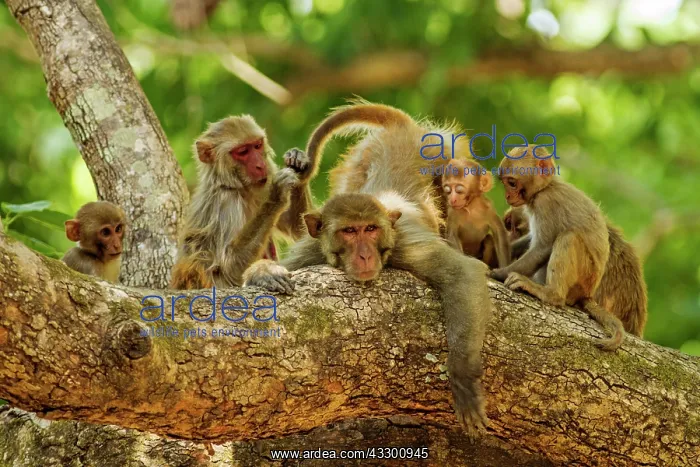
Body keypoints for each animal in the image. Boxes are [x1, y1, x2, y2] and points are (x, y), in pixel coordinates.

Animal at [170, 115, 313, 290]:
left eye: (257, 146)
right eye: (243, 152)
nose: (260, 165)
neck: (238, 187)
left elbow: (303, 232)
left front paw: (298, 162)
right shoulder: (225, 203)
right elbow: (228, 268)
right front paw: (277, 195)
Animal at [244, 101, 493, 436]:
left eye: (371, 229)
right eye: (349, 232)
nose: (364, 256)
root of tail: (403, 129)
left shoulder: (406, 244)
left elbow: (463, 274)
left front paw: (463, 376)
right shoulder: (314, 250)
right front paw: (265, 274)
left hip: (440, 151)